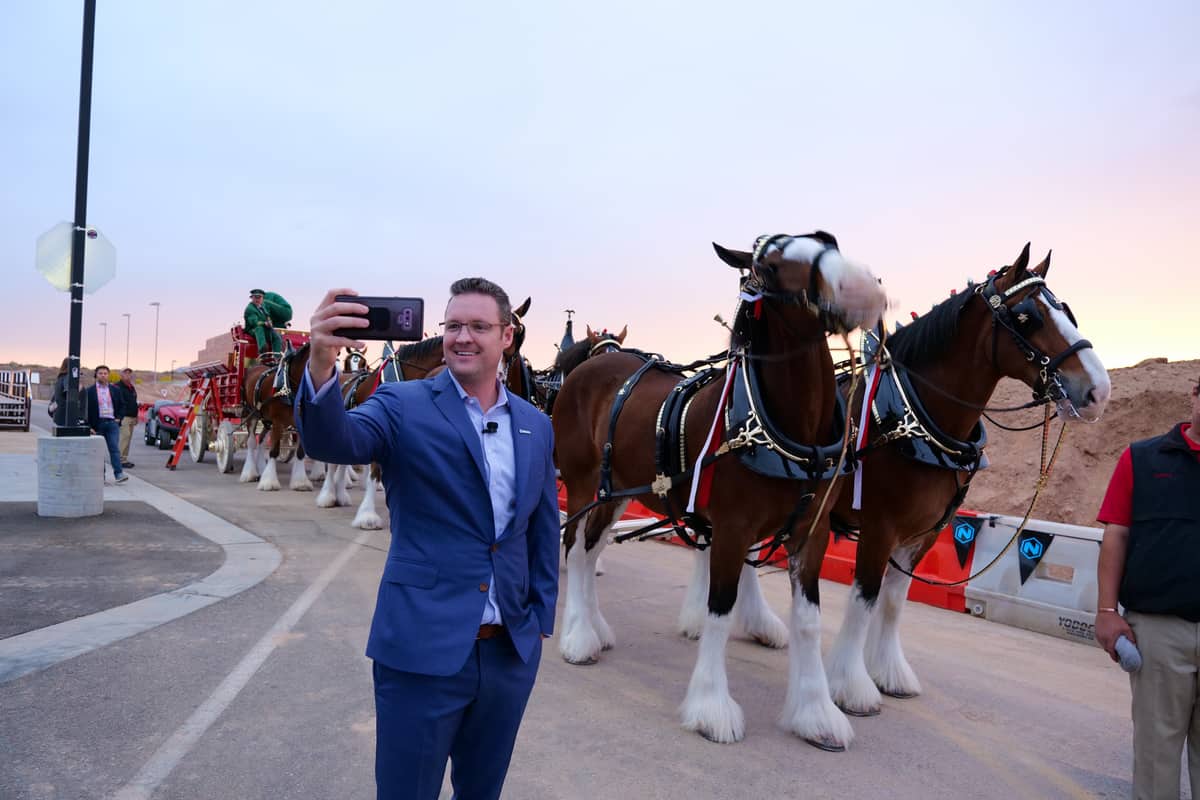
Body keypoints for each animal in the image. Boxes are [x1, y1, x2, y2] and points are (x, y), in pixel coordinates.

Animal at [549, 235, 883, 748]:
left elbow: (808, 622)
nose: (862, 289)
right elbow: (719, 611)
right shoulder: (731, 528)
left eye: (829, 242)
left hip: (616, 490)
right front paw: (711, 708)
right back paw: (578, 637)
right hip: (585, 484)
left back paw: (594, 629)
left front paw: (816, 713)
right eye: (772, 265)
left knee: (590, 548)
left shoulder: (811, 531)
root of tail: (591, 365)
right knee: (575, 548)